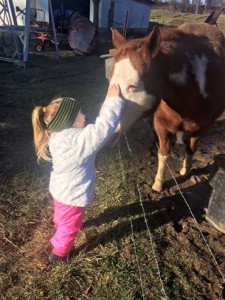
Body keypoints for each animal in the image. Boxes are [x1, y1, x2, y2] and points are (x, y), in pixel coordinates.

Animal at [107, 22, 225, 192]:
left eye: (133, 85)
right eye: (109, 79)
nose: (109, 132)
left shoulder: (203, 129)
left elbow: (191, 148)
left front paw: (185, 169)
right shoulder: (161, 125)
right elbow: (163, 153)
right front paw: (158, 183)